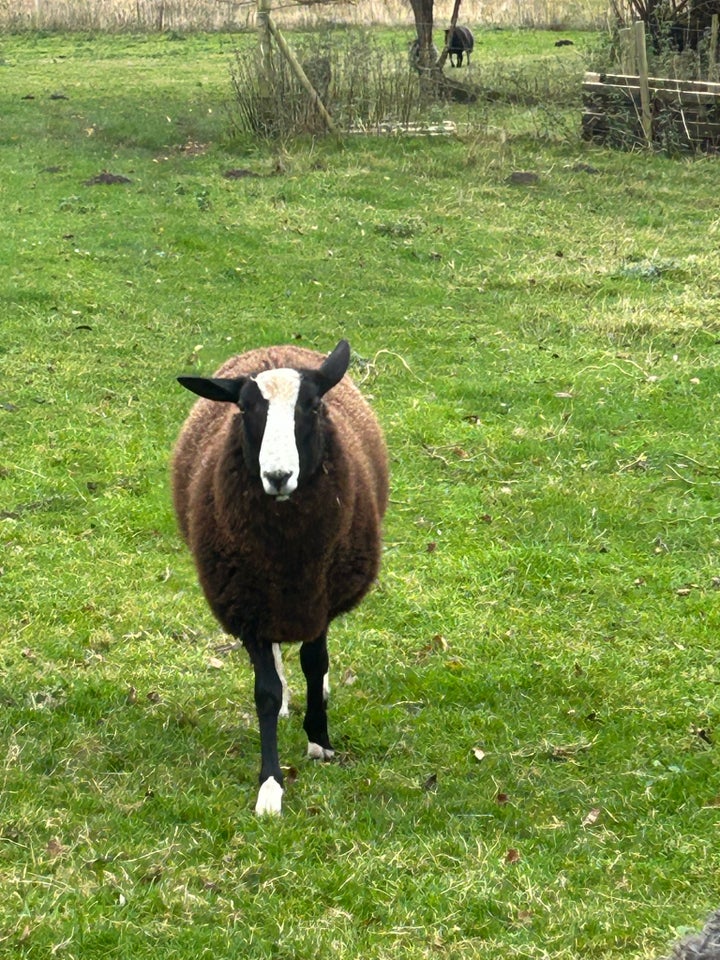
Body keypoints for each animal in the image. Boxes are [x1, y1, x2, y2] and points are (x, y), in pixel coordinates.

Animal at [172, 342, 388, 812]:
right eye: (244, 409)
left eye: (313, 405)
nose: (277, 476)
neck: (288, 559)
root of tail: (273, 350)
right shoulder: (248, 604)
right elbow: (265, 693)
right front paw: (270, 785)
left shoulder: (320, 600)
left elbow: (315, 663)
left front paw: (320, 739)